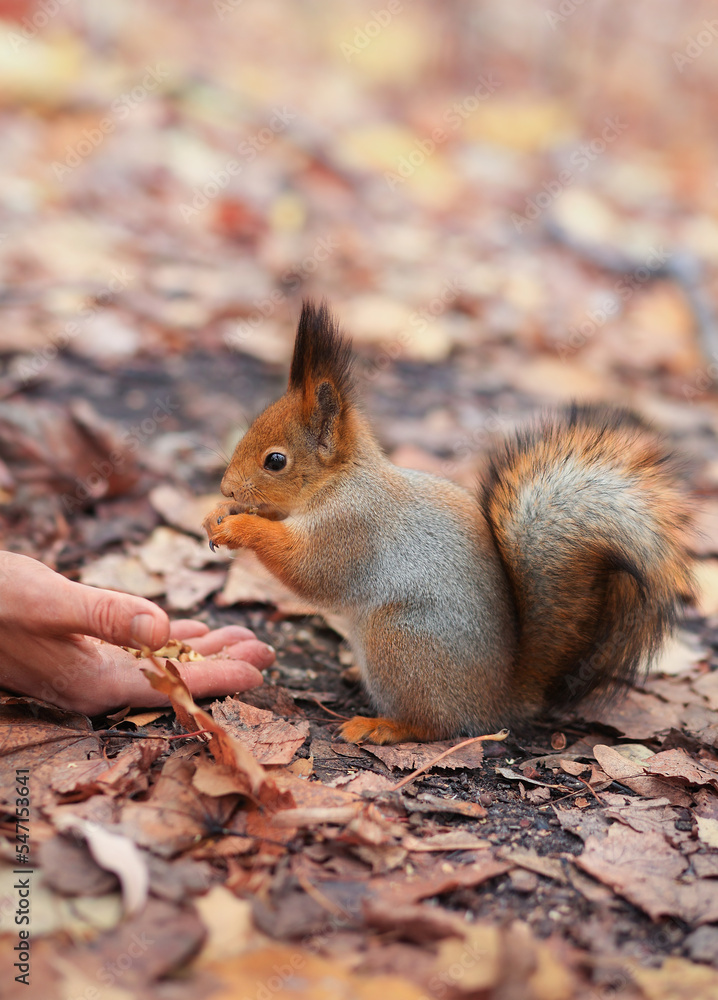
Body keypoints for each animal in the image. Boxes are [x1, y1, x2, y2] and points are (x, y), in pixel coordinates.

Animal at [204, 300, 695, 745]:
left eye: (276, 461)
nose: (226, 486)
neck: (340, 481)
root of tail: (498, 701)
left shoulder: (353, 528)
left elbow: (309, 571)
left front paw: (241, 529)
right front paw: (219, 514)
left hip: (398, 639)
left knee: (434, 725)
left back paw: (382, 726)